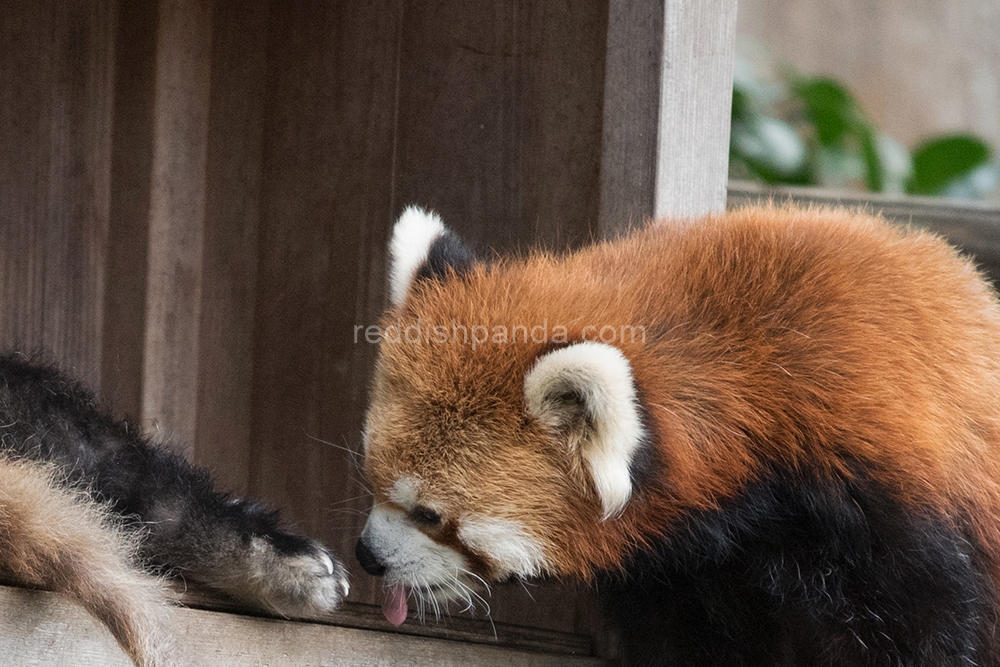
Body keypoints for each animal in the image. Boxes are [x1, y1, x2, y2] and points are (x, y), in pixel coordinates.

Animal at [358, 206, 1000, 664]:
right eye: (372, 481)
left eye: (431, 515)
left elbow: (921, 630)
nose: (367, 557)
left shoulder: (881, 503)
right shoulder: (681, 568)